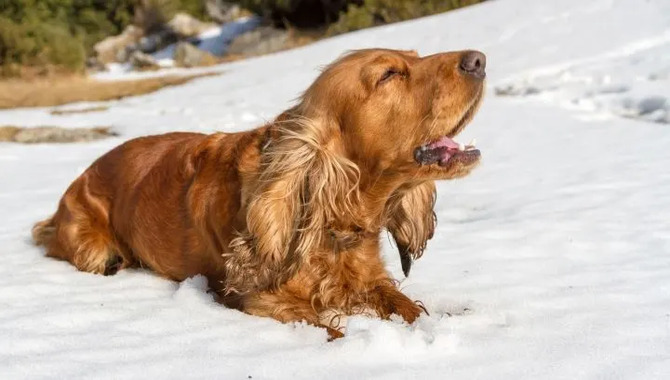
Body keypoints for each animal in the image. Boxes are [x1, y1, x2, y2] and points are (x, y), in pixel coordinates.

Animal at [32, 48, 488, 338]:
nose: (479, 60)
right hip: (91, 246)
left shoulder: (373, 280)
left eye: (415, 55)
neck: (332, 218)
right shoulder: (259, 301)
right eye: (390, 74)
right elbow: (330, 332)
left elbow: (407, 306)